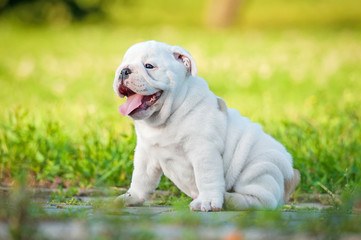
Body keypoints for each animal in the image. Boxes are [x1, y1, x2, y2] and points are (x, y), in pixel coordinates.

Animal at [112, 40, 298, 211]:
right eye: (123, 62)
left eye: (149, 66)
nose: (124, 70)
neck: (166, 118)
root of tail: (292, 176)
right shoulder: (145, 153)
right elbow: (140, 178)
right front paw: (131, 196)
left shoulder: (203, 150)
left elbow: (206, 177)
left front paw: (207, 201)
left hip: (261, 169)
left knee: (261, 200)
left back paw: (230, 199)